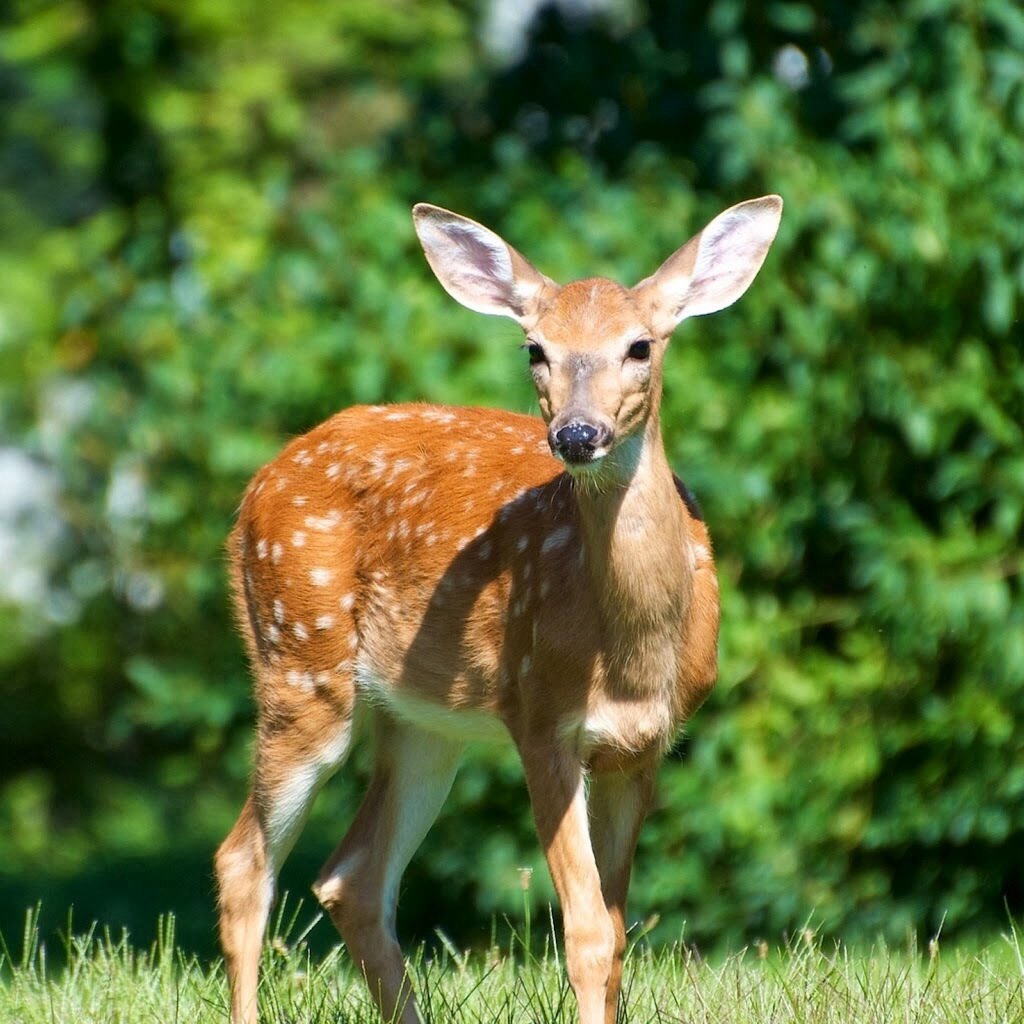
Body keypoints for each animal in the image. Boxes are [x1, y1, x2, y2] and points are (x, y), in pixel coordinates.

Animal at [214, 194, 783, 1024]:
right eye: (535, 350)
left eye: (640, 346)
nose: (577, 434)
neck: (630, 652)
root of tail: (254, 488)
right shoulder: (539, 716)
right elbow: (585, 934)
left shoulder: (643, 746)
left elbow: (618, 936)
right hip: (299, 663)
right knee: (244, 861)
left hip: (426, 721)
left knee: (352, 877)